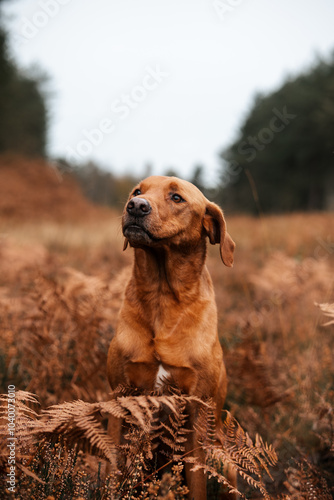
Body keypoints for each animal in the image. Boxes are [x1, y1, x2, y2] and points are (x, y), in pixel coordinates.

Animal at [107, 177, 235, 500]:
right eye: (137, 192)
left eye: (177, 198)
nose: (135, 207)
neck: (162, 296)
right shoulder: (118, 398)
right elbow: (112, 471)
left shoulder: (195, 413)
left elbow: (197, 484)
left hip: (225, 461)